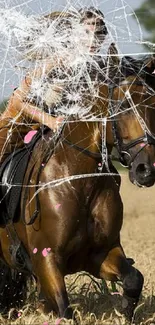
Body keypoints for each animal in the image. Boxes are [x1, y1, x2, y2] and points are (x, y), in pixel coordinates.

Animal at [0, 69, 155, 320]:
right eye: (121, 106)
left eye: (153, 104)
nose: (146, 170)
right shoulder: (46, 259)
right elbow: (65, 310)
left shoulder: (99, 253)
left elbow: (133, 279)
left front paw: (124, 312)